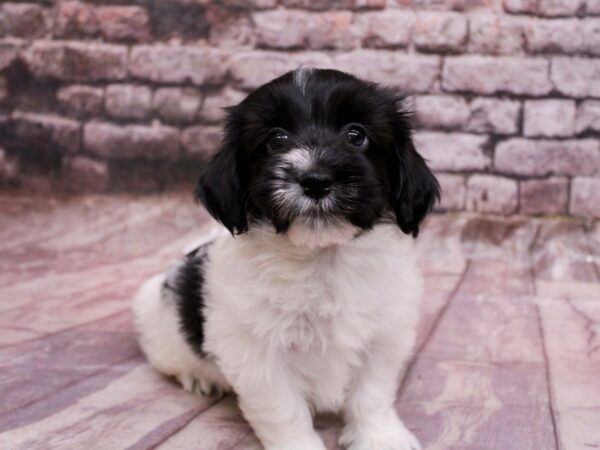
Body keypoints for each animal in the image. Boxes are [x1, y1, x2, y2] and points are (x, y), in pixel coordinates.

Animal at [134, 67, 438, 450]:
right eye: (276, 139)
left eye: (356, 135)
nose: (316, 179)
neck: (322, 258)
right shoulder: (258, 354)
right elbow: (283, 409)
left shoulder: (384, 334)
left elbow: (372, 393)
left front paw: (380, 438)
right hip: (161, 324)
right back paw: (197, 377)